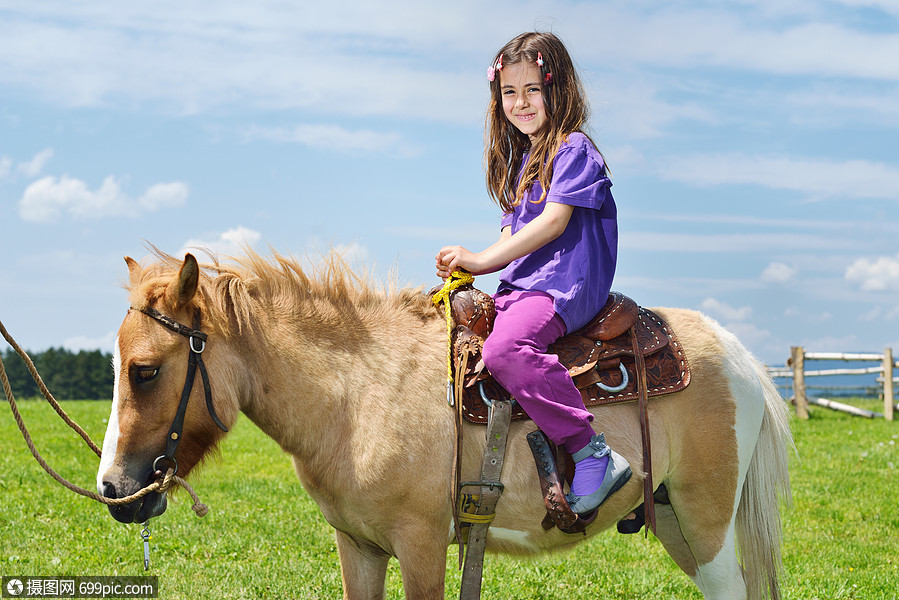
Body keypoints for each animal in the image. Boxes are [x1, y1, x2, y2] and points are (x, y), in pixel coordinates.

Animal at [95, 248, 792, 600]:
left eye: (146, 371)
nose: (112, 490)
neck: (357, 395)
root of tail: (741, 357)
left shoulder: (422, 544)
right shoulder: (360, 547)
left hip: (705, 523)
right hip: (673, 519)